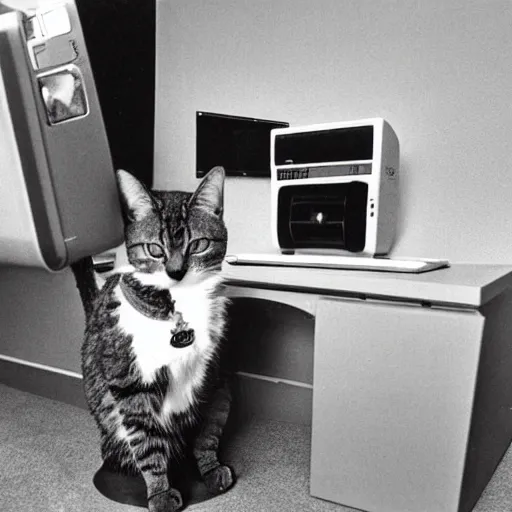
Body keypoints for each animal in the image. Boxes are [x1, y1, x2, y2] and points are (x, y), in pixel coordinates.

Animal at [79, 168, 234, 512]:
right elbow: (147, 445)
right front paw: (160, 493)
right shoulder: (130, 385)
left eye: (198, 244)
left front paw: (209, 468)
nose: (176, 272)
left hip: (226, 392)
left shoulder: (211, 380)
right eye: (154, 249)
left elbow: (206, 434)